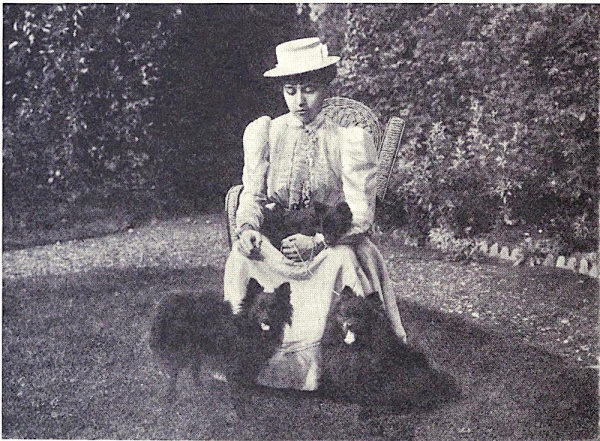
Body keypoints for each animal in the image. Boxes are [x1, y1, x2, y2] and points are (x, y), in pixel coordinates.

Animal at [149, 278, 292, 398]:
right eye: (258, 307)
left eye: (274, 308)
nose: (266, 320)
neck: (251, 331)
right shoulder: (235, 369)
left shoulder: (251, 368)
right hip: (180, 351)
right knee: (173, 373)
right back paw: (170, 395)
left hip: (196, 351)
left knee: (194, 370)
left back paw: (199, 389)